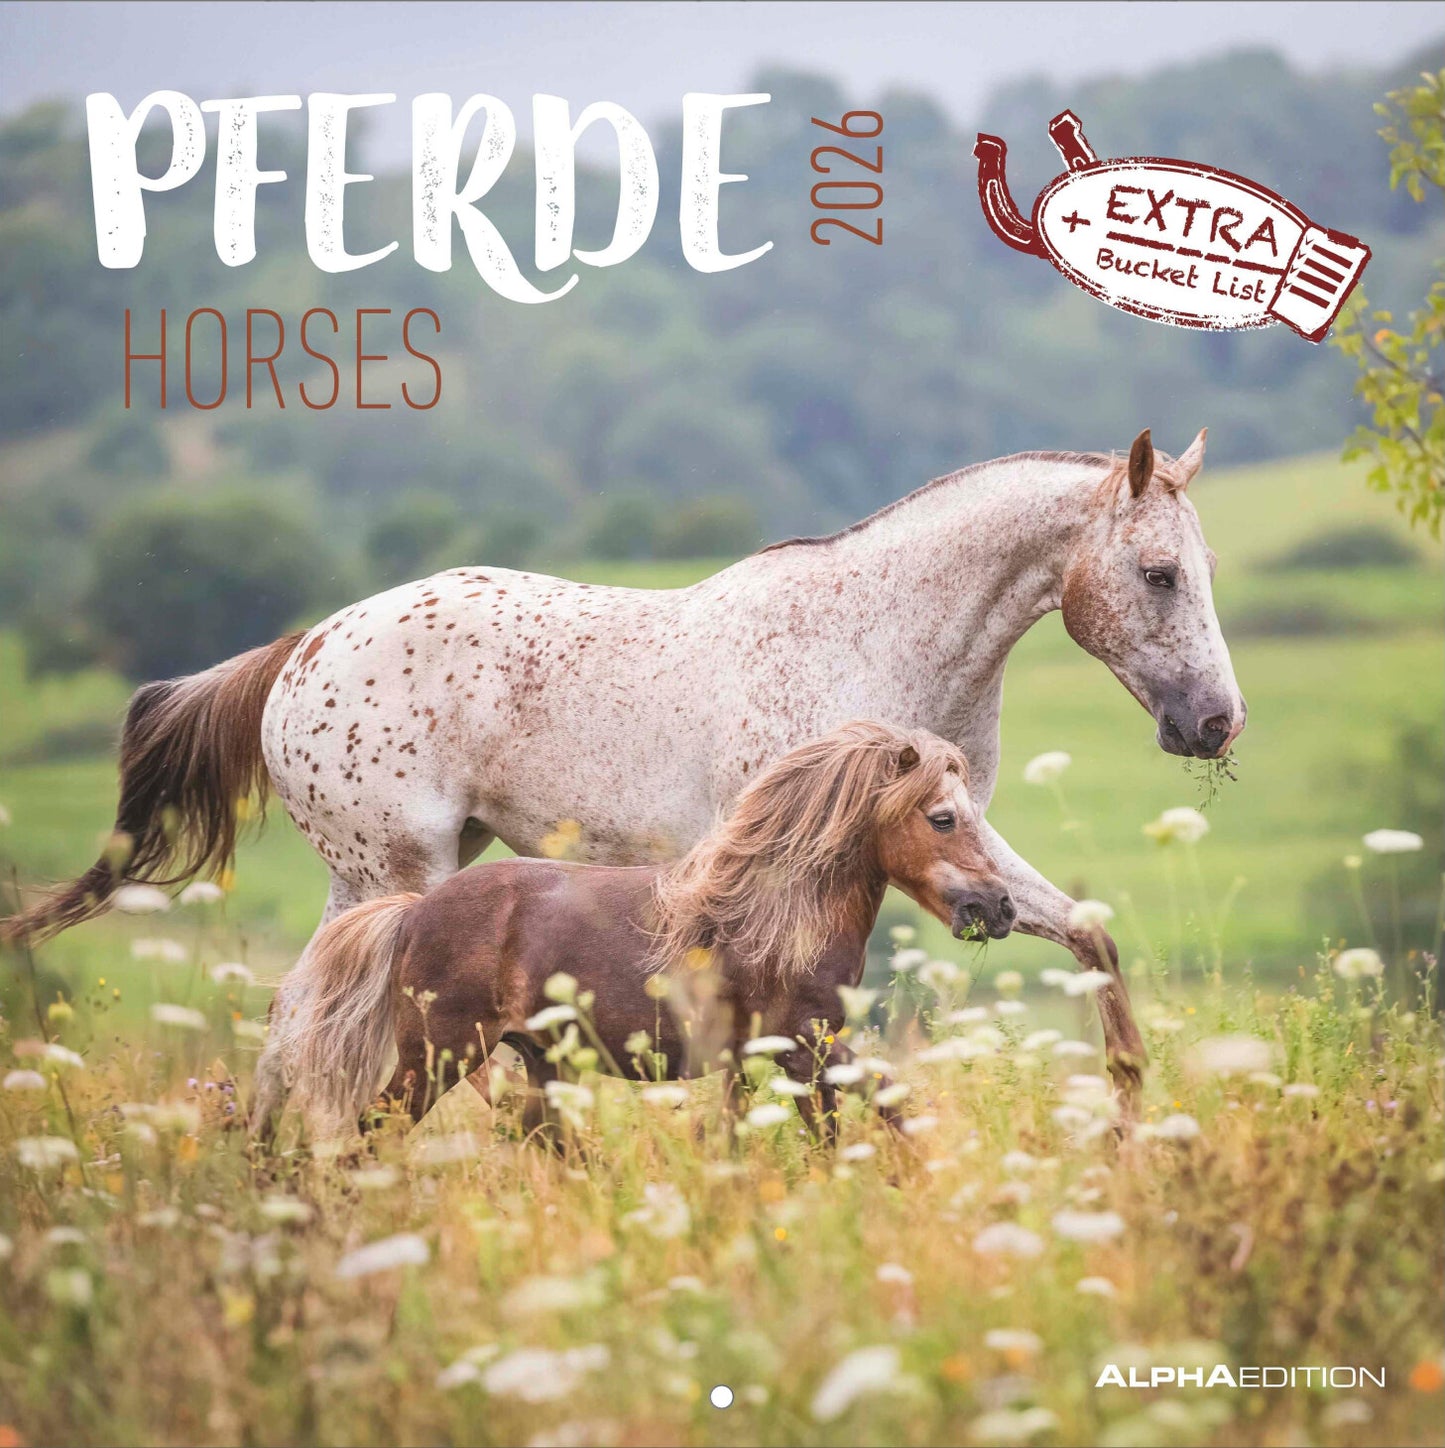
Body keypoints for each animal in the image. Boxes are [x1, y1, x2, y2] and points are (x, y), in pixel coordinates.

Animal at [265, 721, 1015, 1141]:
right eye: (943, 817)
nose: (1000, 908)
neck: (774, 920)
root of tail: (412, 913)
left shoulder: (773, 1060)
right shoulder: (805, 1050)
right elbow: (859, 1120)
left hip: (537, 1065)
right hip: (438, 1057)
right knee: (374, 1132)